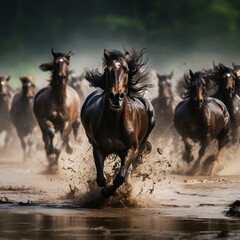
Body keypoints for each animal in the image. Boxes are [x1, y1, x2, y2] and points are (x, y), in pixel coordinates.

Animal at [81, 47, 156, 196]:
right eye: (107, 70)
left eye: (126, 70)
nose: (116, 96)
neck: (114, 122)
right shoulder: (98, 148)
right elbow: (101, 179)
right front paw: (105, 189)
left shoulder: (130, 149)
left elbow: (120, 177)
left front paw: (112, 190)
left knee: (130, 168)